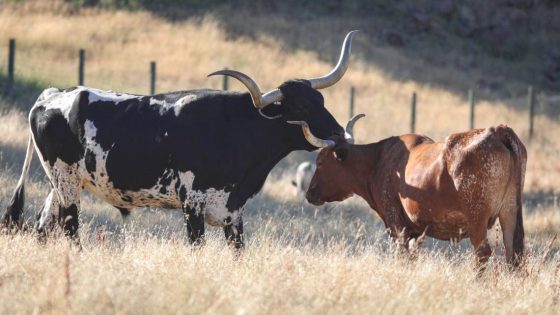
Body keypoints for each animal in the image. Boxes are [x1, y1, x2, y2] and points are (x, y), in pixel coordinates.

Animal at [294, 116, 528, 270]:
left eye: (320, 162)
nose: (310, 193)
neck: (377, 161)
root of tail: (498, 130)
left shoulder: (397, 225)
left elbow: (402, 257)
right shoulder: (418, 231)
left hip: (476, 216)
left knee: (482, 253)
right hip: (509, 212)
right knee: (513, 254)